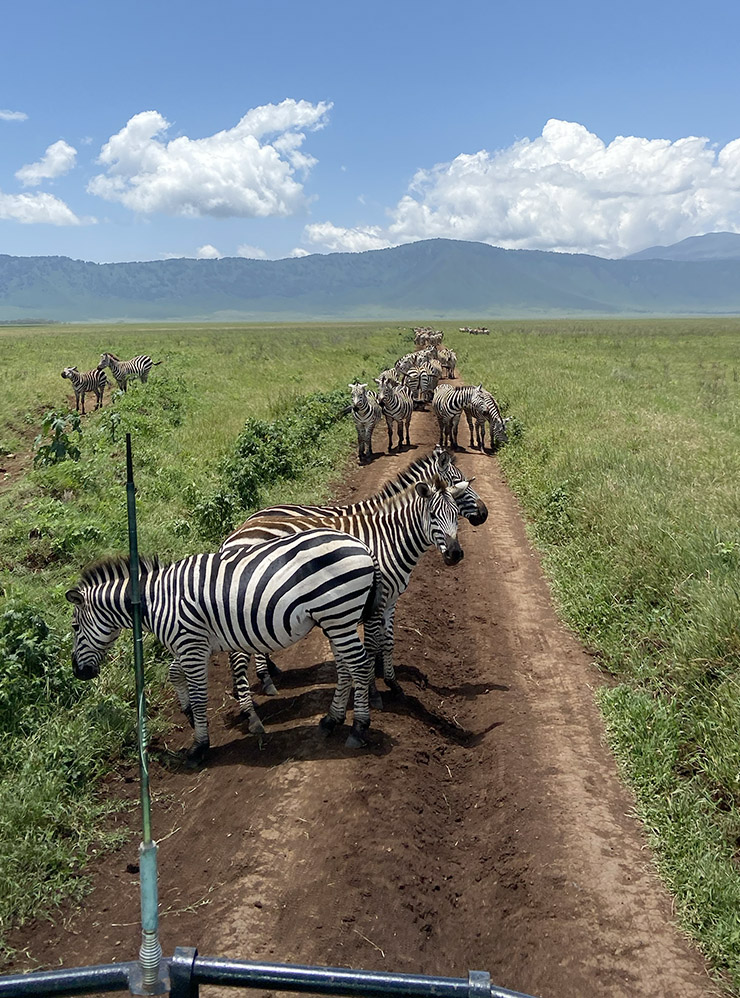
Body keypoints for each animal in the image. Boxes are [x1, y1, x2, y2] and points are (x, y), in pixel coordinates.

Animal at [65, 532, 382, 764]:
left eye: (74, 627)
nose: (78, 672)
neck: (156, 600)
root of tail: (362, 546)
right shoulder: (191, 644)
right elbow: (173, 673)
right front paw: (188, 714)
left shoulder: (191, 644)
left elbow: (198, 695)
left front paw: (199, 747)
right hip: (335, 619)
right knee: (346, 668)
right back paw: (331, 720)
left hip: (338, 613)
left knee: (361, 666)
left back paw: (358, 728)